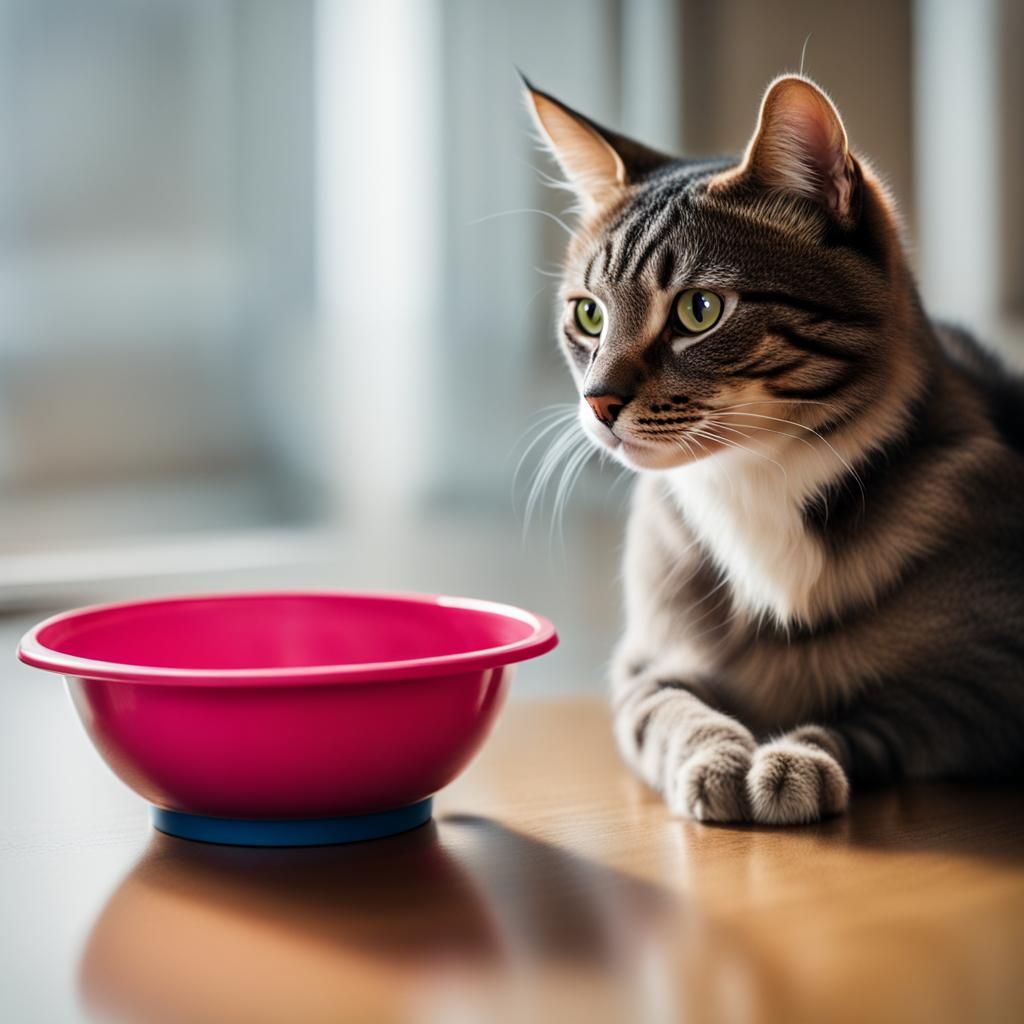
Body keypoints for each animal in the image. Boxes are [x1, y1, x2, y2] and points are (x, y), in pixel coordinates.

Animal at [524, 72, 1024, 823]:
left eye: (699, 311)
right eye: (589, 314)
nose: (599, 403)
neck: (754, 477)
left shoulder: (988, 686)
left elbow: (876, 715)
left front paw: (798, 759)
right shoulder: (644, 667)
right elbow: (670, 714)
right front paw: (716, 756)